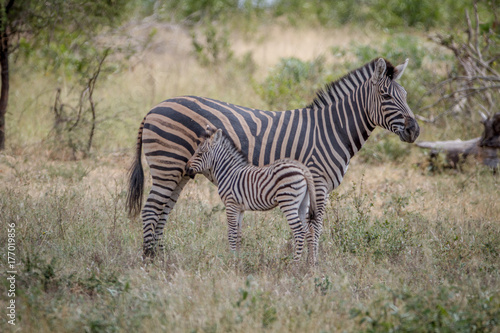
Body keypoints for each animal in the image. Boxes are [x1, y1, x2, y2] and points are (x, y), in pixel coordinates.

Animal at [186, 127, 318, 262]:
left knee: (299, 232)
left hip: (288, 202)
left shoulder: (230, 205)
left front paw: (231, 260)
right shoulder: (239, 208)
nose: (186, 168)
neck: (228, 173)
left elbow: (231, 233)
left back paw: (295, 263)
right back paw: (310, 263)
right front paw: (238, 259)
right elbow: (238, 234)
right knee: (309, 230)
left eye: (200, 153)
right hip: (303, 203)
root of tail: (302, 168)